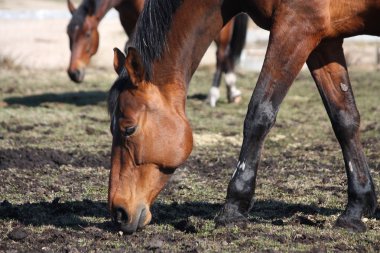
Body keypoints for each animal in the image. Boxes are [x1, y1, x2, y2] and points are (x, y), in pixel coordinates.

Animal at [107, 0, 380, 233]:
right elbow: (344, 118)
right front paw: (356, 209)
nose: (119, 212)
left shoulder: (296, 26)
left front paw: (233, 208)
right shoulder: (324, 39)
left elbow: (259, 113)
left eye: (129, 129)